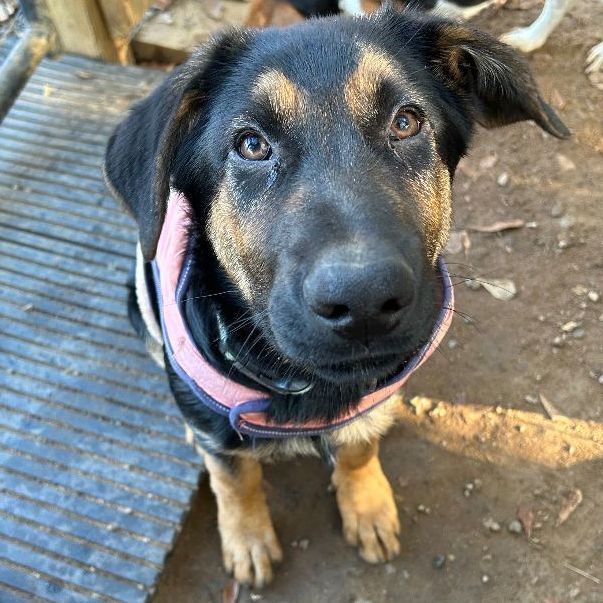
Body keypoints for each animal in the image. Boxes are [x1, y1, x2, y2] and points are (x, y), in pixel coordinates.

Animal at [104, 7, 568, 588]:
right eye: (251, 144)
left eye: (406, 121)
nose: (365, 302)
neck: (304, 384)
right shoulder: (219, 425)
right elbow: (234, 478)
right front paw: (247, 537)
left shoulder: (375, 395)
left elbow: (359, 446)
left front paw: (365, 505)